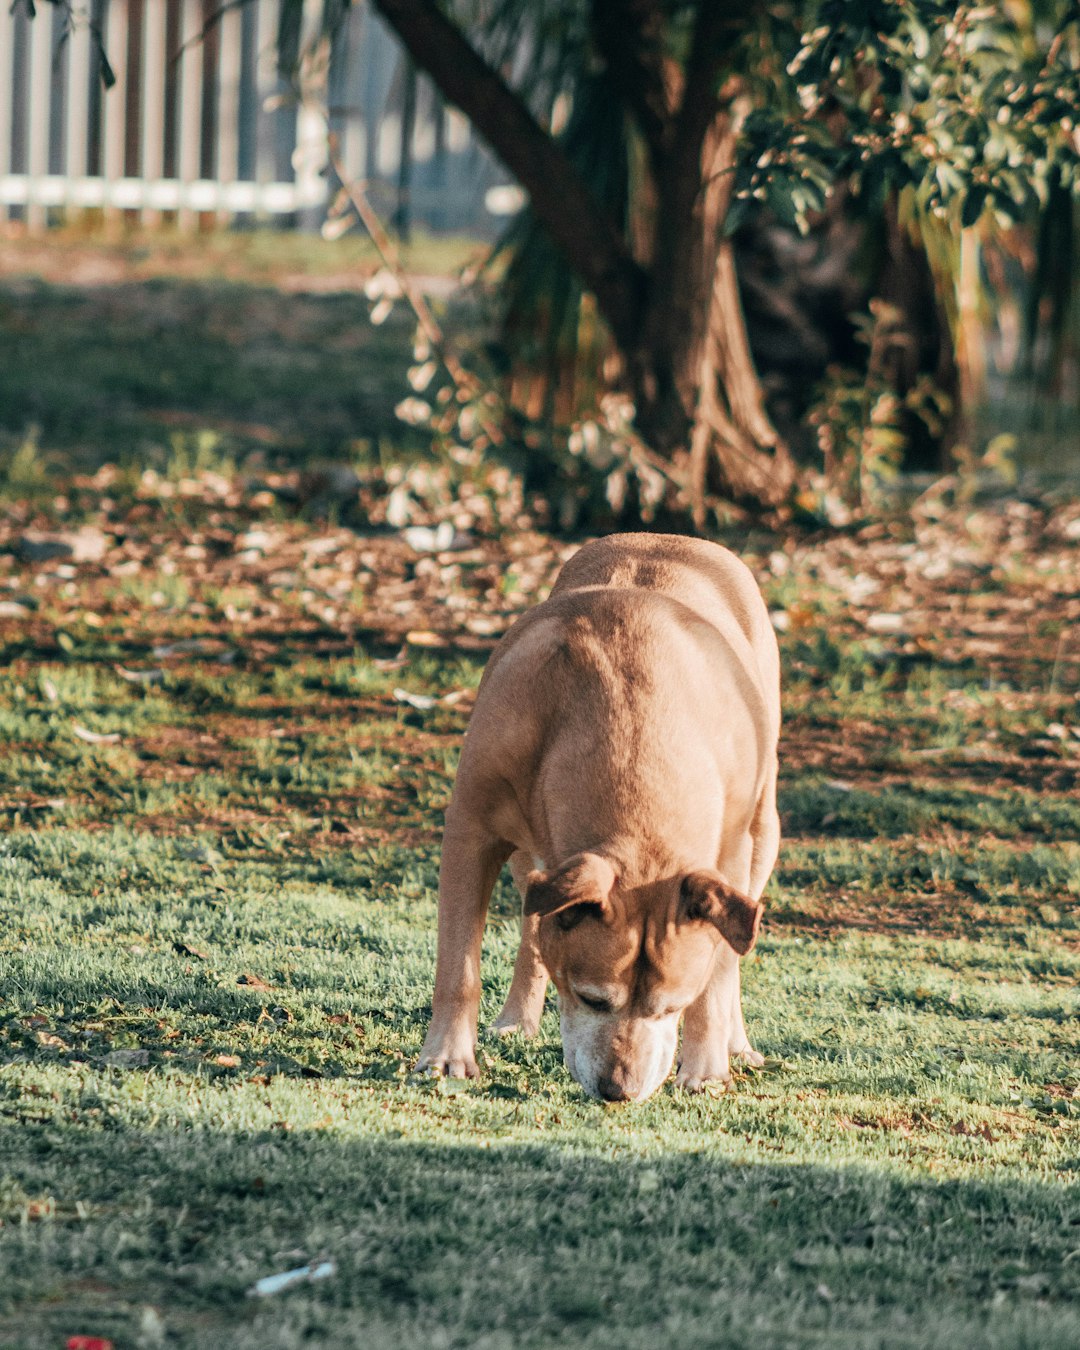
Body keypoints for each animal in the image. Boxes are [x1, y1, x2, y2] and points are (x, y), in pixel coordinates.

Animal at [418, 531, 783, 1101]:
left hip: (764, 834)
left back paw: (737, 1044)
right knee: (533, 928)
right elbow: (459, 966)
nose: (618, 1090)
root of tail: (668, 537)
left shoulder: (727, 859)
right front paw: (446, 1057)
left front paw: (705, 1067)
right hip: (533, 857)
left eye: (671, 1007)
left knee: (735, 944)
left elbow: (717, 973)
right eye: (591, 998)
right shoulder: (471, 830)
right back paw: (517, 1018)